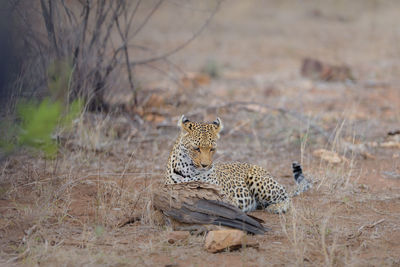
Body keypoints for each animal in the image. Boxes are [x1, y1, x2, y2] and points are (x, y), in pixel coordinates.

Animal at [164, 115, 310, 214]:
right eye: (196, 148)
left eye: (212, 149)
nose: (205, 165)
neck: (190, 170)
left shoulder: (226, 198)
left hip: (257, 179)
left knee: (286, 196)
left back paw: (277, 207)